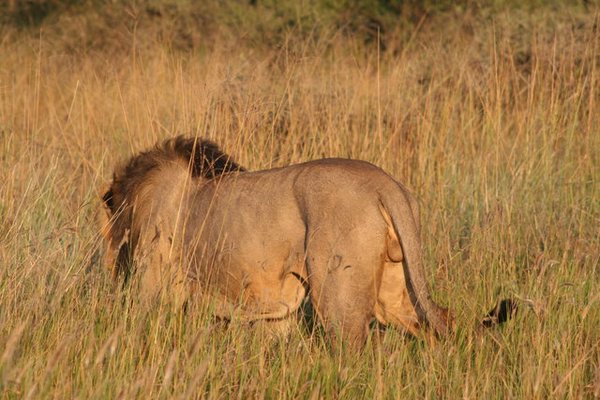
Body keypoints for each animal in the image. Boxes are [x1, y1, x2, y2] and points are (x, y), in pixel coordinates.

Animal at [99, 136, 516, 348]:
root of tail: (385, 184)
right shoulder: (276, 316)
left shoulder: (153, 289)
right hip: (396, 291)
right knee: (439, 322)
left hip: (338, 295)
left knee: (353, 347)